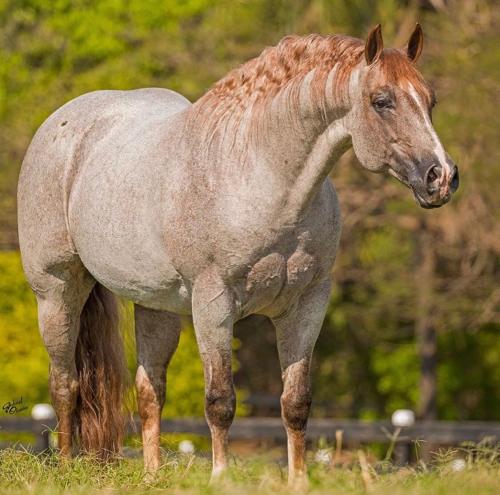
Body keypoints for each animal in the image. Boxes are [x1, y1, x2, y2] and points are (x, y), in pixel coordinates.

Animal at [18, 25, 458, 486]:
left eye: (430, 100)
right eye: (382, 101)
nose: (442, 177)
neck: (261, 178)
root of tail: (65, 123)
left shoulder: (308, 305)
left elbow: (296, 402)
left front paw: (298, 480)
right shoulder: (214, 305)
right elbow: (220, 401)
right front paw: (220, 476)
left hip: (156, 306)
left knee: (149, 389)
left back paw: (153, 475)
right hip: (57, 293)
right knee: (65, 383)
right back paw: (66, 466)